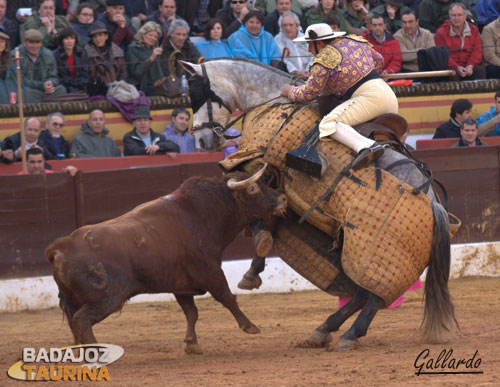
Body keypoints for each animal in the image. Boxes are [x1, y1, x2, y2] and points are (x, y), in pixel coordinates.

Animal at [45, 167, 288, 354]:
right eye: (253, 188)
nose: (282, 199)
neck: (203, 213)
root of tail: (61, 246)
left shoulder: (181, 284)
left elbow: (192, 312)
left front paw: (192, 344)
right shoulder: (210, 272)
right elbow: (227, 298)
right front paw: (250, 326)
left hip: (75, 300)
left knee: (75, 325)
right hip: (106, 298)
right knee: (82, 320)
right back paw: (97, 352)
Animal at [180, 58, 458, 352]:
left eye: (199, 94)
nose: (201, 141)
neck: (269, 98)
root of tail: (435, 204)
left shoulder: (261, 167)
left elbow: (260, 212)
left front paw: (258, 252)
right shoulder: (278, 181)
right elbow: (271, 215)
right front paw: (254, 269)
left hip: (376, 249)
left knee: (372, 296)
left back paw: (348, 335)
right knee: (363, 293)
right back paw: (324, 330)